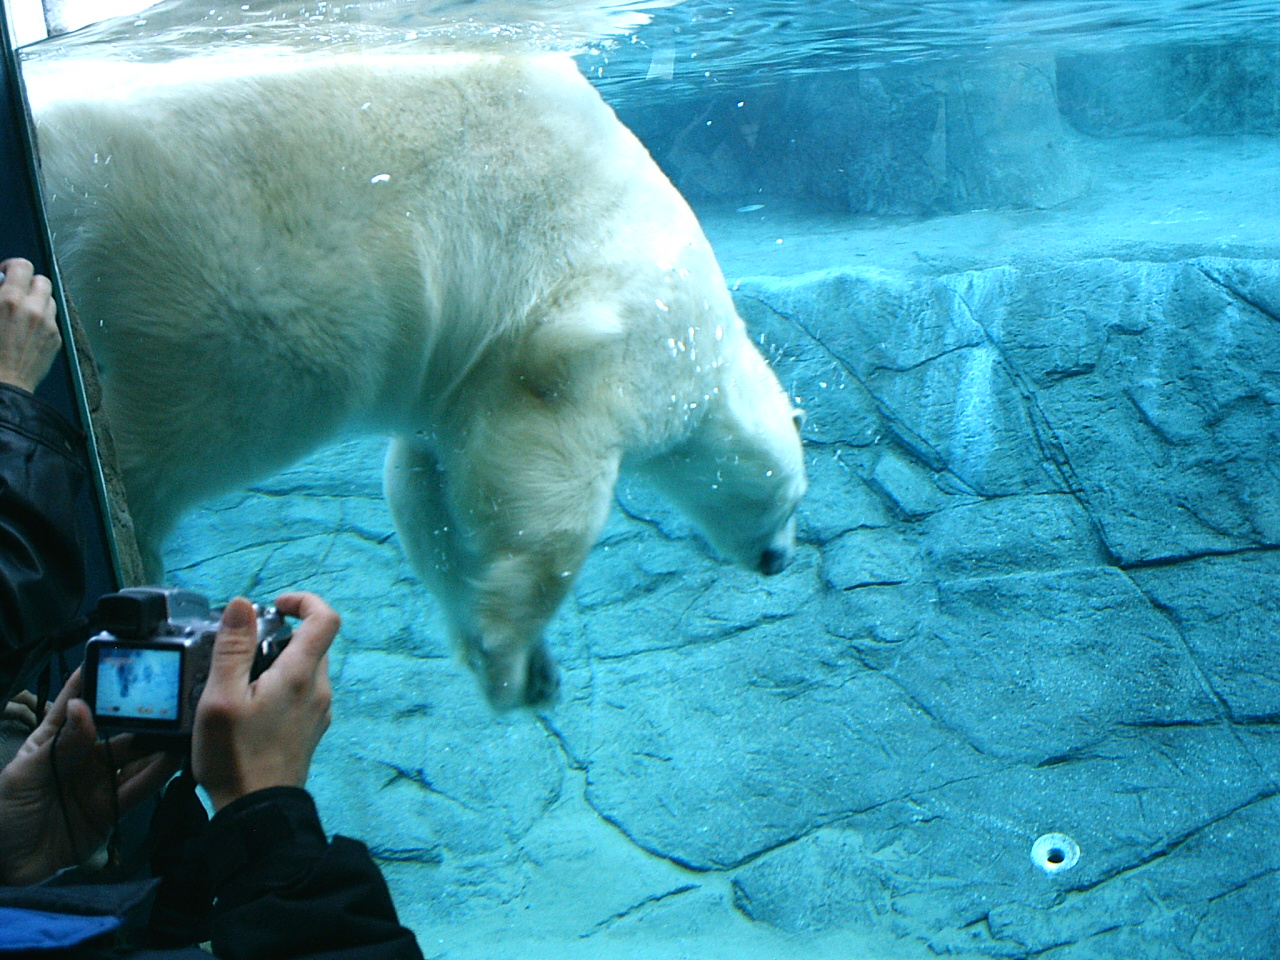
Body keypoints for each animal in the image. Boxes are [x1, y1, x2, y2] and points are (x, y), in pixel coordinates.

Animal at [29, 51, 807, 709]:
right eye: (794, 499)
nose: (780, 561)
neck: (708, 345)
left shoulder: (457, 386)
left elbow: (424, 488)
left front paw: (528, 669)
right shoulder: (607, 330)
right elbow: (543, 477)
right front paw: (511, 654)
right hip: (216, 272)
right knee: (200, 420)